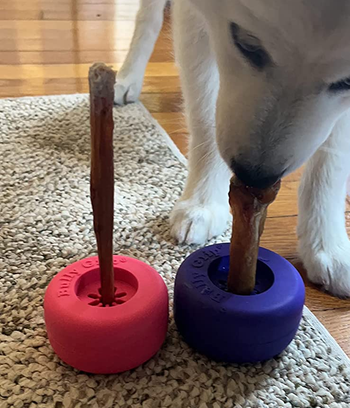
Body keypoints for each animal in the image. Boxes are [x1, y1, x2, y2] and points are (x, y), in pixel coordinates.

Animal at [115, 0, 350, 298]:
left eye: (348, 82)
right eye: (247, 45)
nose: (255, 177)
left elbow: (331, 161)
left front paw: (328, 246)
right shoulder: (196, 19)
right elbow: (205, 117)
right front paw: (202, 205)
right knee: (147, 17)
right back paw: (127, 79)